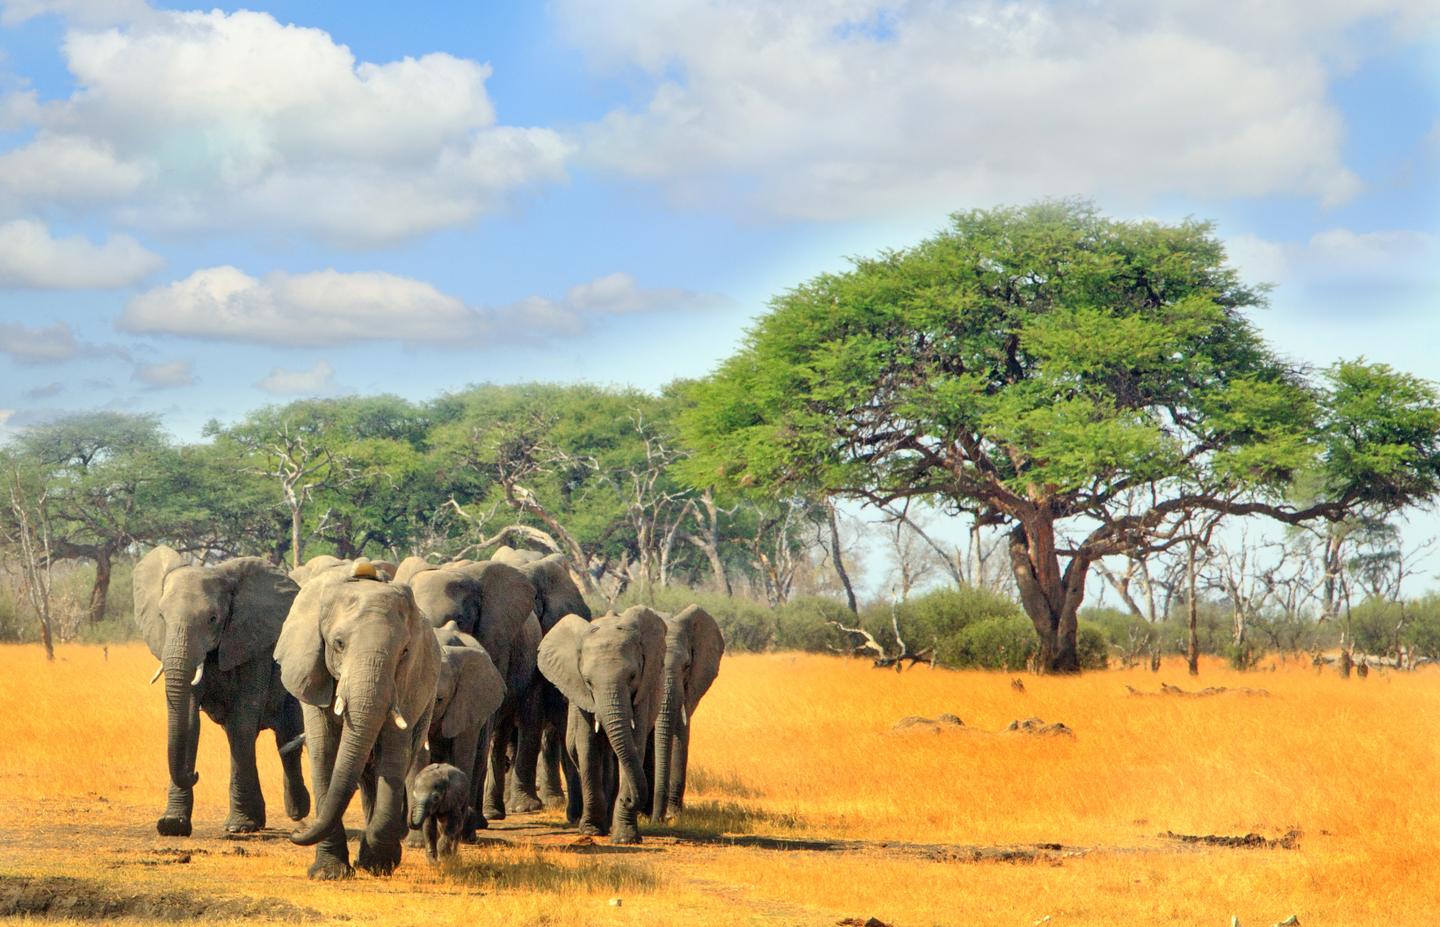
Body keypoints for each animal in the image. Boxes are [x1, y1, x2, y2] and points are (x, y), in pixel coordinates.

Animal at [133, 545, 310, 837]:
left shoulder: (255, 642)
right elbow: (190, 722)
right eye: (161, 617)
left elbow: (242, 724)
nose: (195, 775)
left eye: (213, 619)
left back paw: (297, 812)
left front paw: (239, 827)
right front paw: (171, 825)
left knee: (287, 736)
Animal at [273, 559, 440, 879]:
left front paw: (375, 864)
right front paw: (328, 873)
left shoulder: (406, 685)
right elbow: (324, 751)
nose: (294, 834)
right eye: (338, 643)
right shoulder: (312, 671)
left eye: (404, 652)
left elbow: (393, 753)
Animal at [538, 605, 666, 844]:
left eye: (632, 676)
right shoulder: (581, 694)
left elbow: (635, 743)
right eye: (588, 682)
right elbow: (587, 747)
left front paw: (625, 838)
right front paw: (591, 830)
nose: (629, 800)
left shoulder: (642, 691)